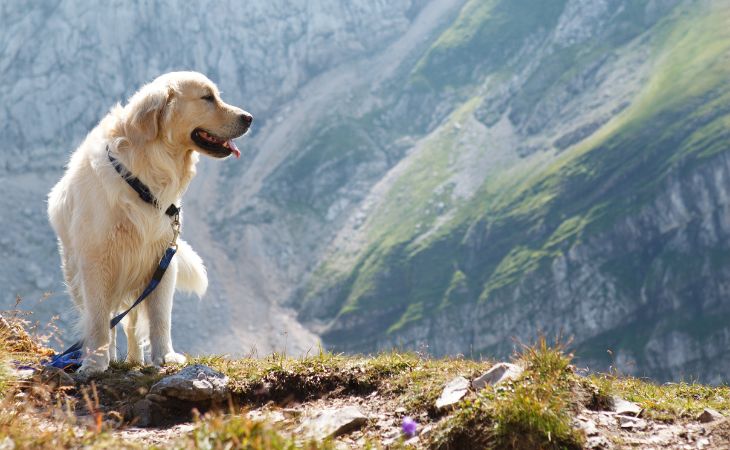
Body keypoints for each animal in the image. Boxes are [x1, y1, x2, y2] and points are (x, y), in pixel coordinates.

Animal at [47, 72, 253, 374]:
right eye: (207, 98)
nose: (249, 117)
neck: (143, 176)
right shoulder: (96, 261)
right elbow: (98, 319)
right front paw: (95, 363)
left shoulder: (162, 259)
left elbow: (160, 317)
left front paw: (165, 356)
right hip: (76, 274)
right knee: (107, 319)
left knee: (132, 324)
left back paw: (134, 359)